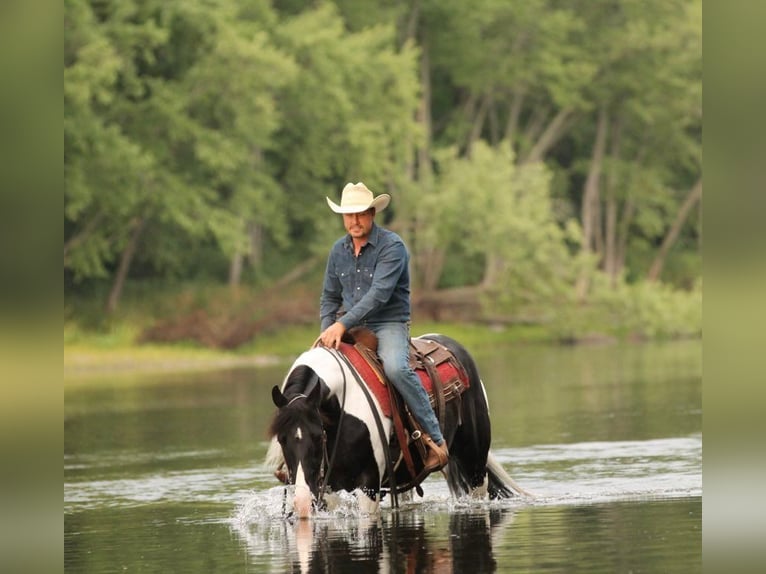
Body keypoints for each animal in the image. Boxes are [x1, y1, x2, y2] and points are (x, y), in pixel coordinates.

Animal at [266, 332, 528, 516]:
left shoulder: (369, 484)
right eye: (281, 439)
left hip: (474, 463)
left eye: (318, 436)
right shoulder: (328, 489)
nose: (300, 502)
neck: (341, 405)